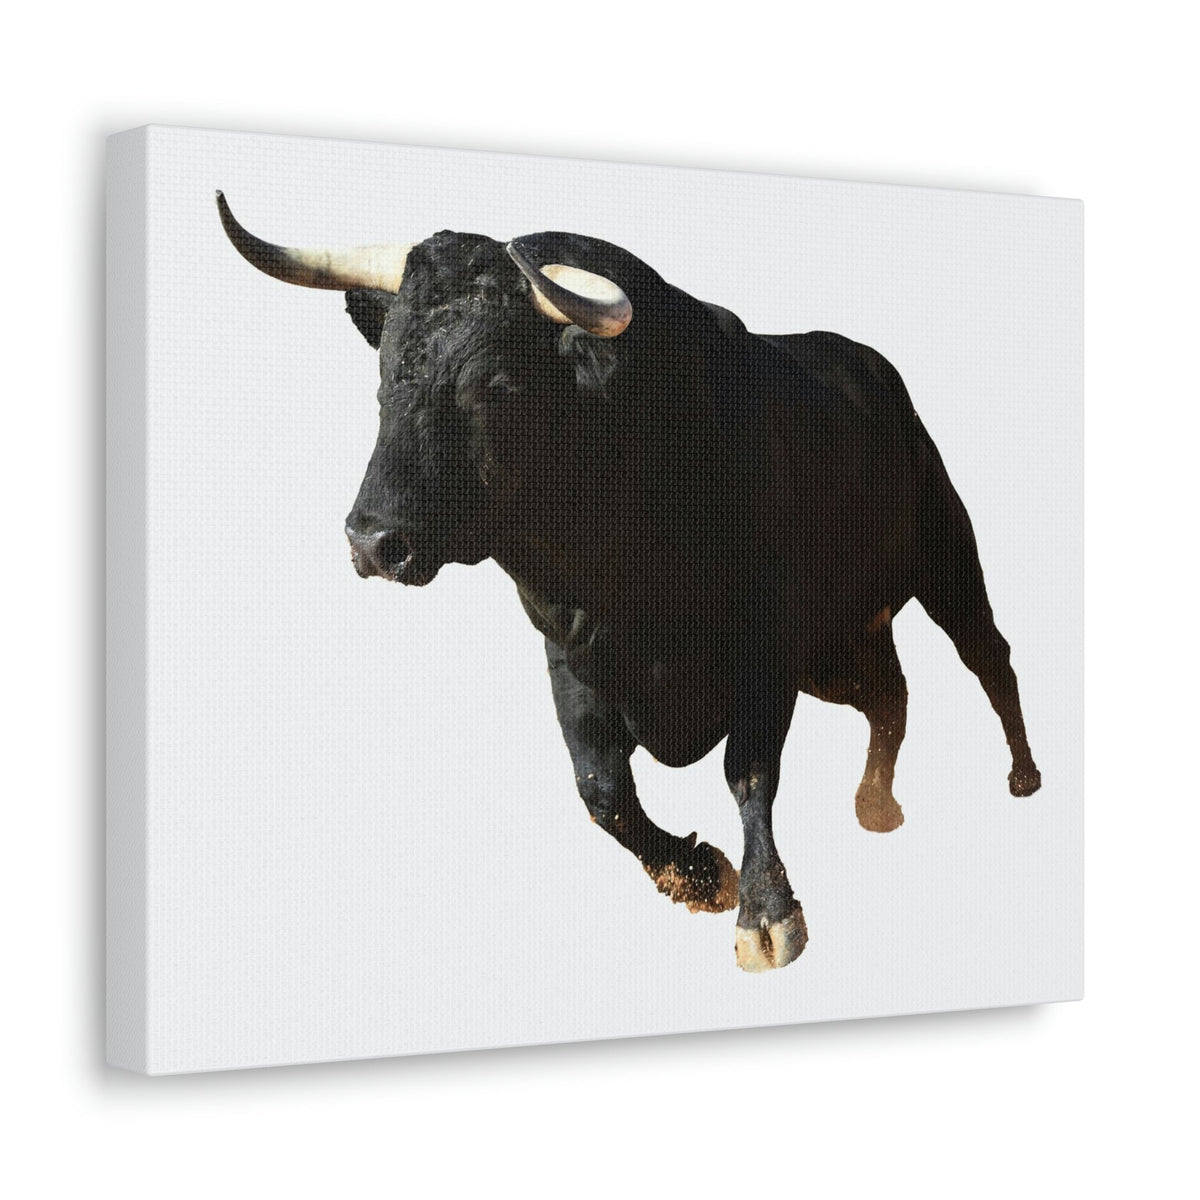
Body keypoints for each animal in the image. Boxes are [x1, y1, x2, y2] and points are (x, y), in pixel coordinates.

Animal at [216, 192, 1041, 972]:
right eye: (385, 378)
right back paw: (876, 803)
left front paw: (767, 915)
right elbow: (601, 789)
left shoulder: (765, 648)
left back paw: (1022, 776)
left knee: (987, 657)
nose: (374, 541)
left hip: (945, 559)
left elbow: (749, 771)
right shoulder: (567, 652)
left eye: (499, 385)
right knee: (887, 693)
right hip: (840, 643)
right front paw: (698, 875)